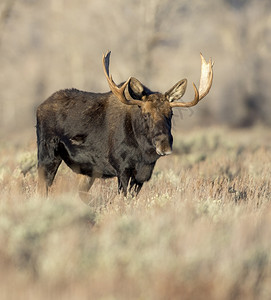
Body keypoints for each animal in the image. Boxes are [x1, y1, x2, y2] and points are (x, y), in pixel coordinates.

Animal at [36, 51, 215, 199]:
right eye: (146, 114)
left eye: (170, 114)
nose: (164, 144)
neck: (143, 153)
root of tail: (39, 107)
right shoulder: (122, 168)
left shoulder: (143, 175)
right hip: (47, 155)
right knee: (42, 190)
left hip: (86, 171)